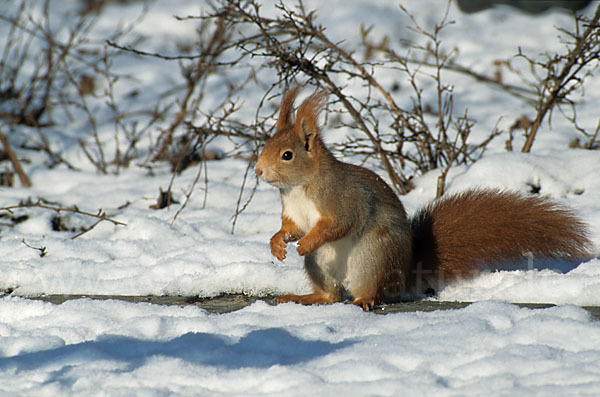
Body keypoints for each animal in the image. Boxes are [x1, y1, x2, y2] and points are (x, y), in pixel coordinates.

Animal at [252, 86, 592, 310]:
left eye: (286, 155)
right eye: (266, 145)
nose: (257, 170)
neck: (299, 186)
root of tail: (405, 274)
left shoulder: (342, 198)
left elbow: (340, 224)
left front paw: (307, 240)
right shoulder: (293, 211)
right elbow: (291, 227)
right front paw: (277, 243)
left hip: (373, 256)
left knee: (369, 291)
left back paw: (365, 299)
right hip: (320, 266)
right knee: (331, 296)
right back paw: (302, 297)